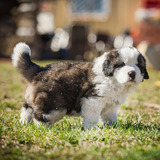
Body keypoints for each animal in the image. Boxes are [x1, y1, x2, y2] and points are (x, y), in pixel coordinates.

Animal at [11, 42, 149, 129]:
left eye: (139, 66)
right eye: (121, 65)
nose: (132, 73)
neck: (113, 79)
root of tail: (41, 70)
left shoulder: (111, 106)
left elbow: (109, 117)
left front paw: (112, 127)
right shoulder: (92, 100)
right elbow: (92, 118)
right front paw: (90, 129)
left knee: (27, 107)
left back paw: (24, 123)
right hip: (54, 105)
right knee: (40, 115)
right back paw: (46, 129)